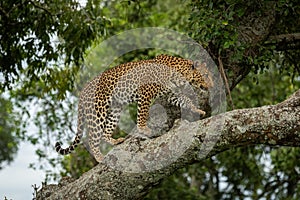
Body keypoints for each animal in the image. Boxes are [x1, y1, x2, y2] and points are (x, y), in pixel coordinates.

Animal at [56, 54, 211, 162]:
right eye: (205, 75)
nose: (210, 85)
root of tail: (83, 91)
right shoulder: (145, 93)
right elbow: (142, 113)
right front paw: (143, 129)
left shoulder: (171, 95)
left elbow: (186, 100)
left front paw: (197, 110)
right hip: (98, 111)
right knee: (92, 137)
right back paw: (99, 157)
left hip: (115, 109)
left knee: (105, 132)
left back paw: (115, 141)